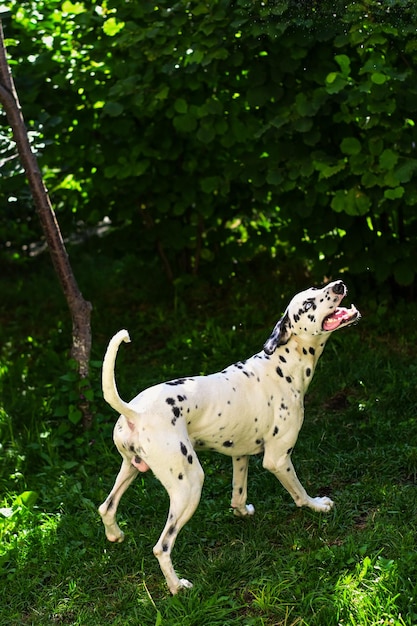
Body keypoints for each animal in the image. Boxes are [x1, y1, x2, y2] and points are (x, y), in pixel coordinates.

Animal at [99, 280, 360, 592]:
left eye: (316, 287)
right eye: (308, 304)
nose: (339, 284)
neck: (282, 365)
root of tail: (134, 412)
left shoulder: (240, 455)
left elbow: (238, 495)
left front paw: (242, 512)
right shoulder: (278, 460)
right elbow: (299, 494)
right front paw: (317, 506)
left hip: (130, 470)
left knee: (106, 508)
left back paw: (115, 535)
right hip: (189, 486)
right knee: (161, 547)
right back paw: (177, 586)